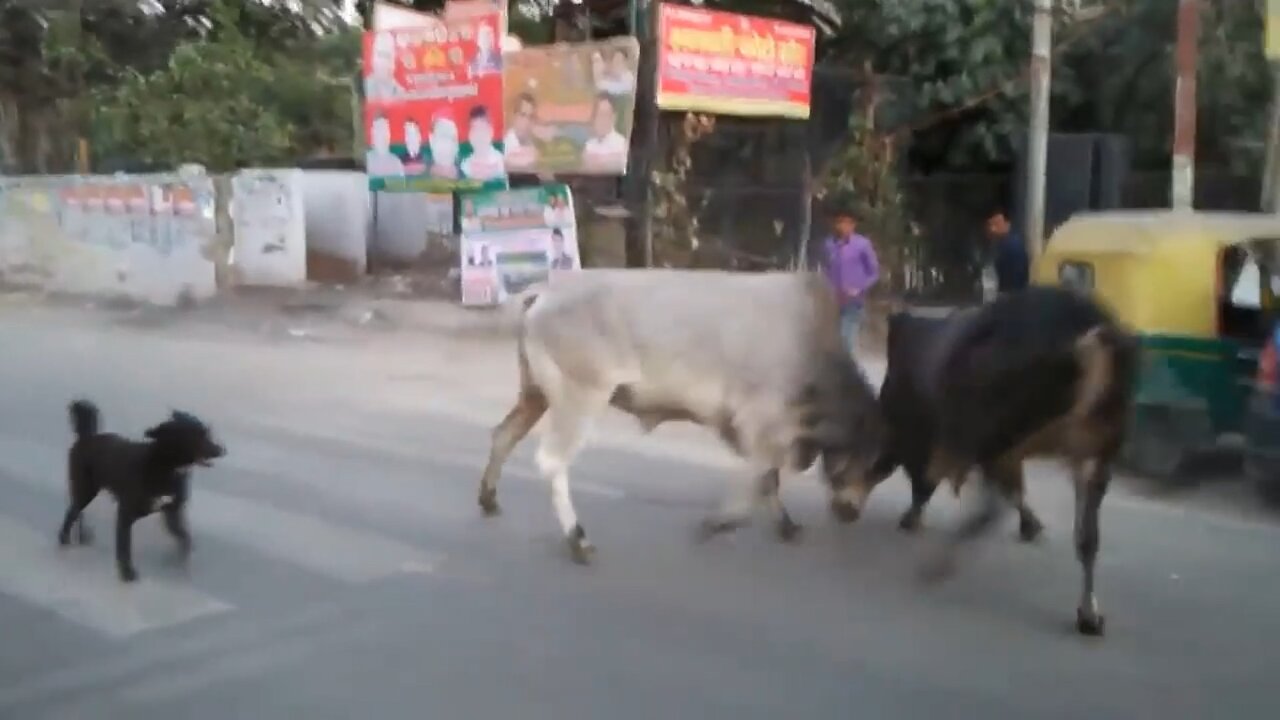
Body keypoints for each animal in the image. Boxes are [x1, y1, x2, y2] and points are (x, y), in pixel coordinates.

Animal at [58, 399, 226, 579]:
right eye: (197, 435)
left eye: (207, 432)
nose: (222, 450)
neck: (166, 466)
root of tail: (87, 437)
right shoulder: (125, 514)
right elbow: (124, 546)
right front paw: (127, 573)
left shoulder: (172, 512)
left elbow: (184, 538)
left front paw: (177, 560)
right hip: (85, 490)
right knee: (72, 513)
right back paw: (65, 539)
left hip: (86, 492)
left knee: (77, 513)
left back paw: (82, 536)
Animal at [839, 285, 1141, 632]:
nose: (841, 505)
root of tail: (1088, 327)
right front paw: (1031, 527)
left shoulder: (921, 434)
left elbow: (906, 473)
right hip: (1095, 450)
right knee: (1087, 537)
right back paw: (1089, 615)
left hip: (995, 436)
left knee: (990, 509)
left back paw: (936, 566)